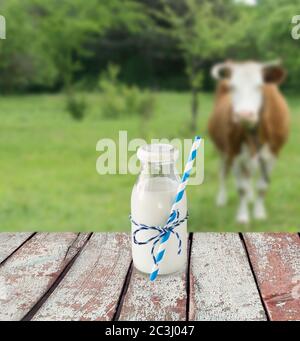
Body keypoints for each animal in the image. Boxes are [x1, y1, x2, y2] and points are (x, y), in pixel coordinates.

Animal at [207, 59, 290, 224]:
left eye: (259, 86)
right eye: (232, 87)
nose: (244, 114)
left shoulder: (273, 154)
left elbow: (262, 186)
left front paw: (259, 213)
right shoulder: (234, 153)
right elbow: (241, 188)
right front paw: (243, 216)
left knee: (249, 174)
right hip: (222, 151)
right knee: (223, 172)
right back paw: (221, 199)